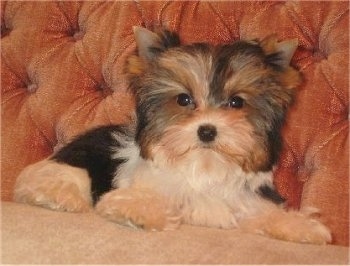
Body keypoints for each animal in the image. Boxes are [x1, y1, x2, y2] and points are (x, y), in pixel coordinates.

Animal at [13, 26, 330, 244]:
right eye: (183, 100)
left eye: (237, 102)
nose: (207, 130)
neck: (203, 168)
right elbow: (150, 199)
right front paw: (138, 211)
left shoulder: (245, 202)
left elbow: (262, 215)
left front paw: (302, 227)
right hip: (74, 163)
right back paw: (58, 196)